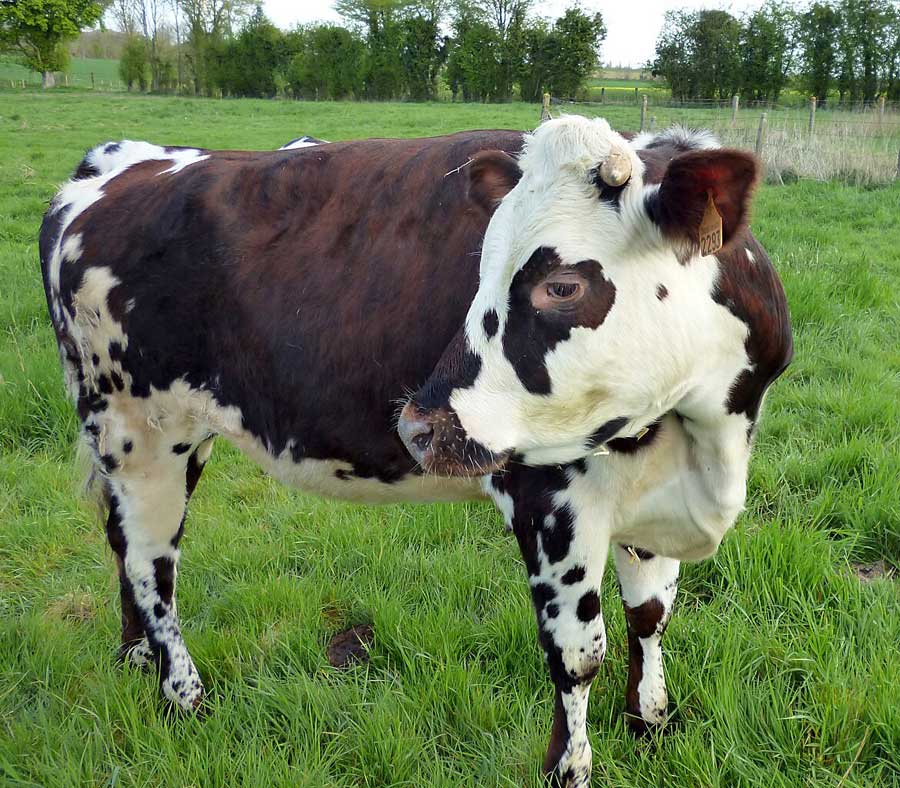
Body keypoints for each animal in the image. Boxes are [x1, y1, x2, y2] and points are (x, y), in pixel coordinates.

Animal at [39, 116, 792, 787]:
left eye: (562, 286)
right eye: (480, 268)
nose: (418, 428)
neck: (707, 434)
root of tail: (114, 164)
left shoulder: (654, 494)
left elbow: (651, 615)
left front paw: (650, 723)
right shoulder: (550, 498)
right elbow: (577, 657)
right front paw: (569, 769)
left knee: (121, 544)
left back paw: (136, 657)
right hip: (139, 433)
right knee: (151, 563)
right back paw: (183, 694)